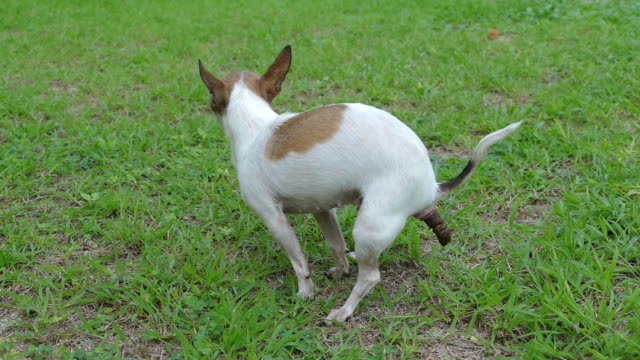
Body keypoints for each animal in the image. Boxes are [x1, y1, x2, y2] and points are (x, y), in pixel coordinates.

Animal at [198, 45, 524, 324]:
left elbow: (299, 262)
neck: (257, 128)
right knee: (358, 255)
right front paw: (340, 269)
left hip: (368, 226)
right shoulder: (322, 208)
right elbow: (336, 244)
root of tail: (431, 187)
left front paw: (305, 293)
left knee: (370, 278)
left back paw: (344, 311)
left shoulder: (273, 218)